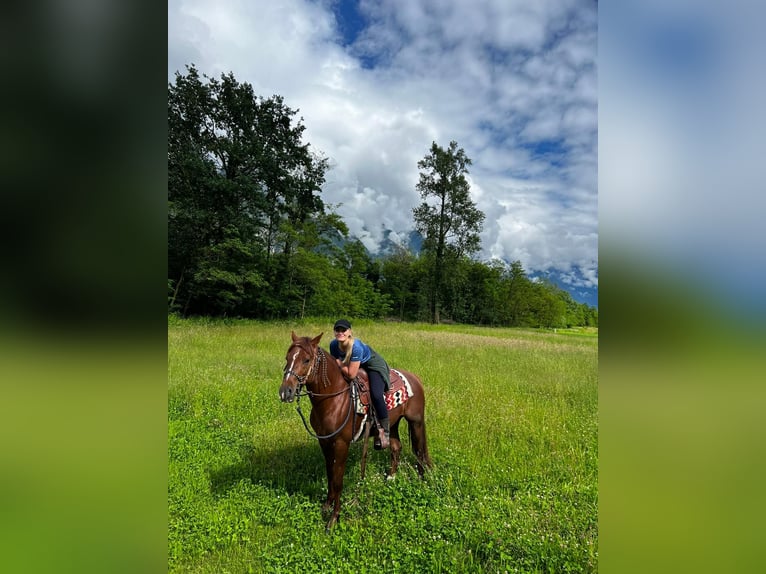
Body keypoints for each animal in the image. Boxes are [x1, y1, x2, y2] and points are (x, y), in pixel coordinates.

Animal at [278, 330, 436, 532]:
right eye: (287, 358)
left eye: (306, 360)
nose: (286, 392)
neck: (334, 398)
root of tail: (415, 378)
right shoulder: (324, 441)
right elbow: (330, 474)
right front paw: (326, 506)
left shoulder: (341, 443)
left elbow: (338, 480)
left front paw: (333, 519)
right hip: (392, 424)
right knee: (396, 447)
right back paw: (391, 478)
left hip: (416, 422)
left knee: (419, 450)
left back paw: (421, 481)